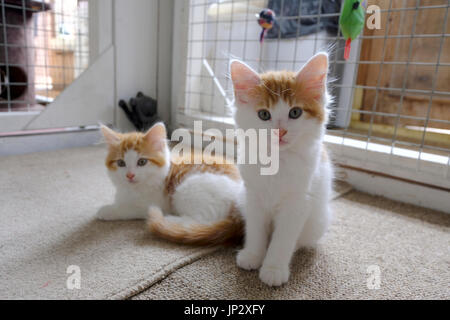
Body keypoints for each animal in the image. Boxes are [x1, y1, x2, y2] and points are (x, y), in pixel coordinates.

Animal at [99, 122, 246, 245]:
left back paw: (169, 220)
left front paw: (107, 210)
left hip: (186, 190)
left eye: (142, 162)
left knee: (199, 221)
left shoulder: (153, 203)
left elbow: (128, 208)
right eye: (120, 163)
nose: (130, 175)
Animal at [230, 52, 332, 284]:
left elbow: (283, 240)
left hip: (318, 220)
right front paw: (253, 256)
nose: (280, 132)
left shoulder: (298, 203)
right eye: (264, 115)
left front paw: (274, 269)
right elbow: (256, 231)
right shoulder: (253, 197)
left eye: (295, 112)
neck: (276, 161)